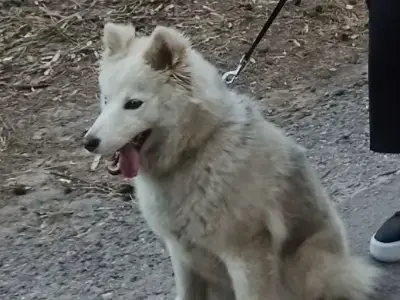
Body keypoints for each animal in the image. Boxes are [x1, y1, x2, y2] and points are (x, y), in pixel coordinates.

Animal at [83, 22, 378, 298]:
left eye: (133, 104)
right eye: (106, 99)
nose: (88, 142)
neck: (195, 151)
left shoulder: (246, 254)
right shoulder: (182, 255)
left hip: (309, 265)